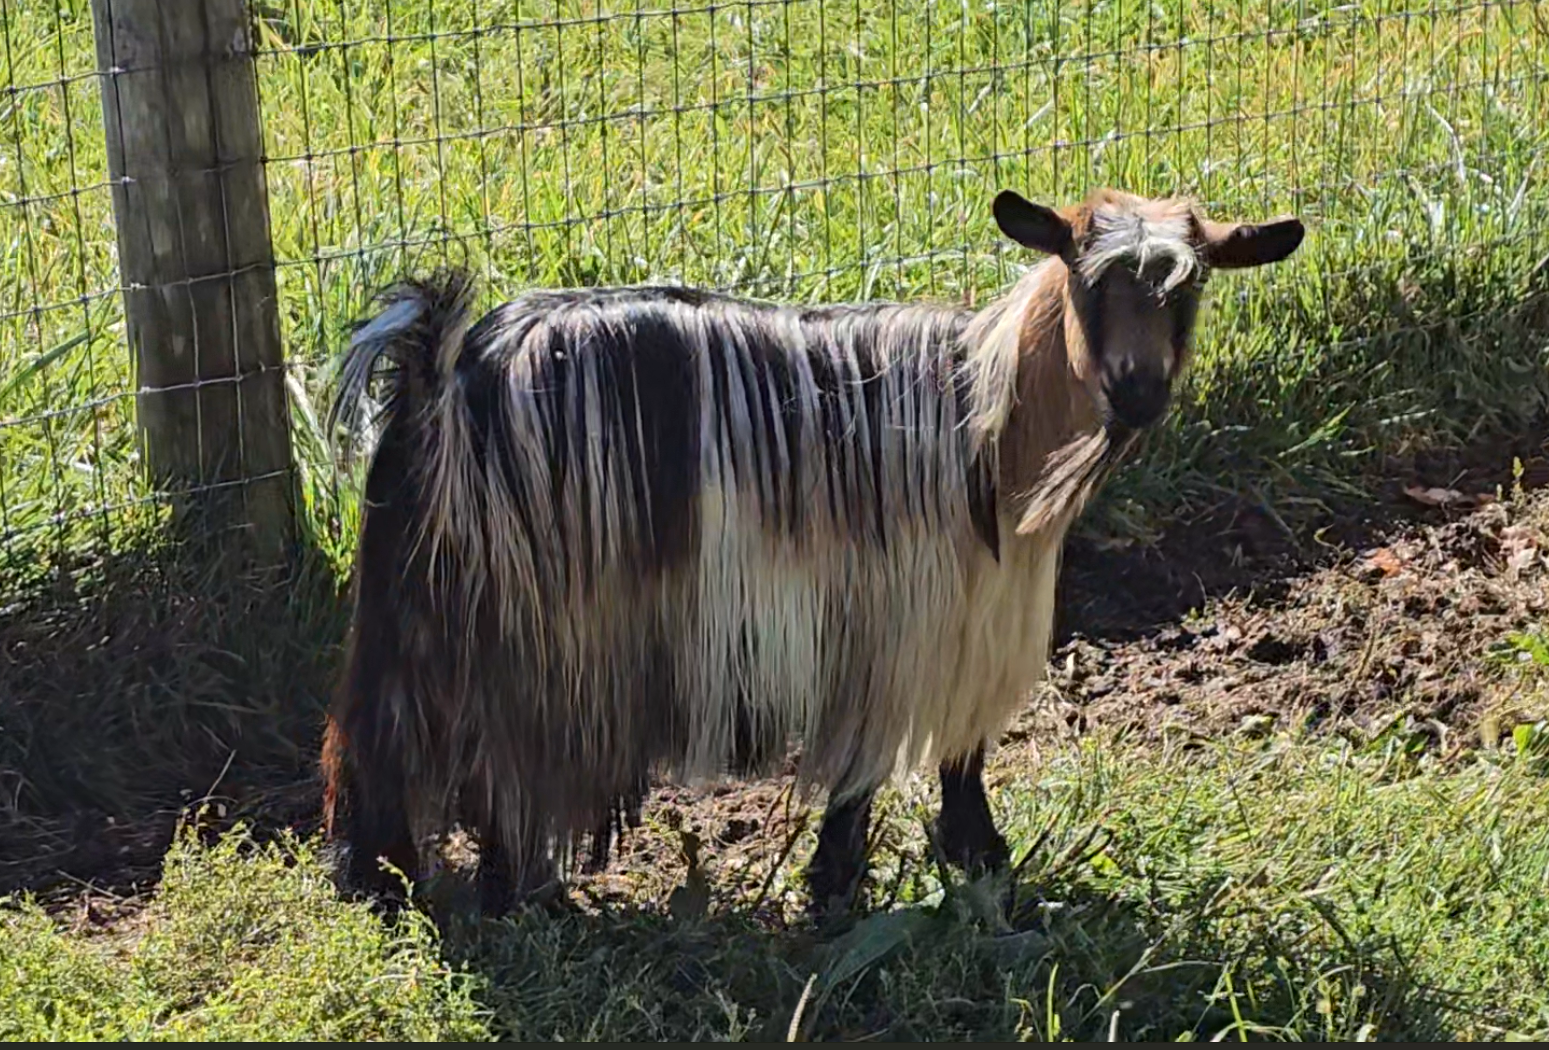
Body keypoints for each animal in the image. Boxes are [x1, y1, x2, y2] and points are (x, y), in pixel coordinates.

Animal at [319, 187, 1304, 916]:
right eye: (1087, 283)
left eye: (1188, 292)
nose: (1136, 392)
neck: (987, 417)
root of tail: (443, 374)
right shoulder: (918, 609)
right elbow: (909, 751)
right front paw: (899, 873)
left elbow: (947, 745)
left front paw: (951, 861)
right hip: (536, 610)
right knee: (496, 748)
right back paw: (512, 895)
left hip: (422, 588)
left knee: (385, 729)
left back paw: (389, 877)